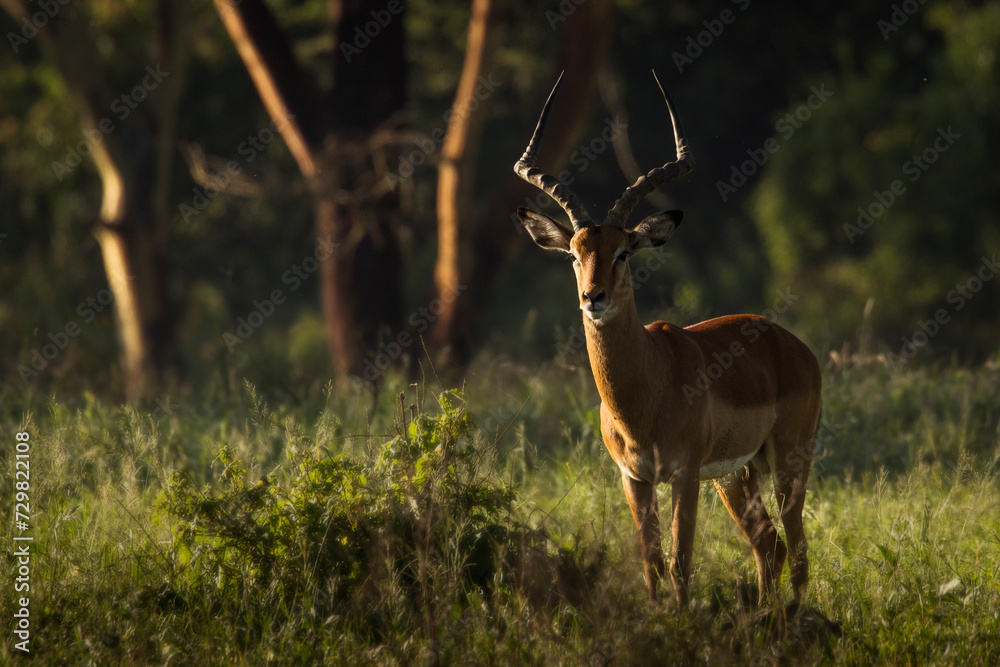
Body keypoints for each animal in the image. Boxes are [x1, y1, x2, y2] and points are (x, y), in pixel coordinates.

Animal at [513, 72, 822, 608]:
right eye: (573, 252)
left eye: (623, 252)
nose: (592, 298)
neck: (645, 392)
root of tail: (796, 347)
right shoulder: (634, 479)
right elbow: (651, 563)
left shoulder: (684, 473)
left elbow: (680, 562)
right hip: (738, 475)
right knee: (770, 545)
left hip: (787, 464)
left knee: (798, 550)